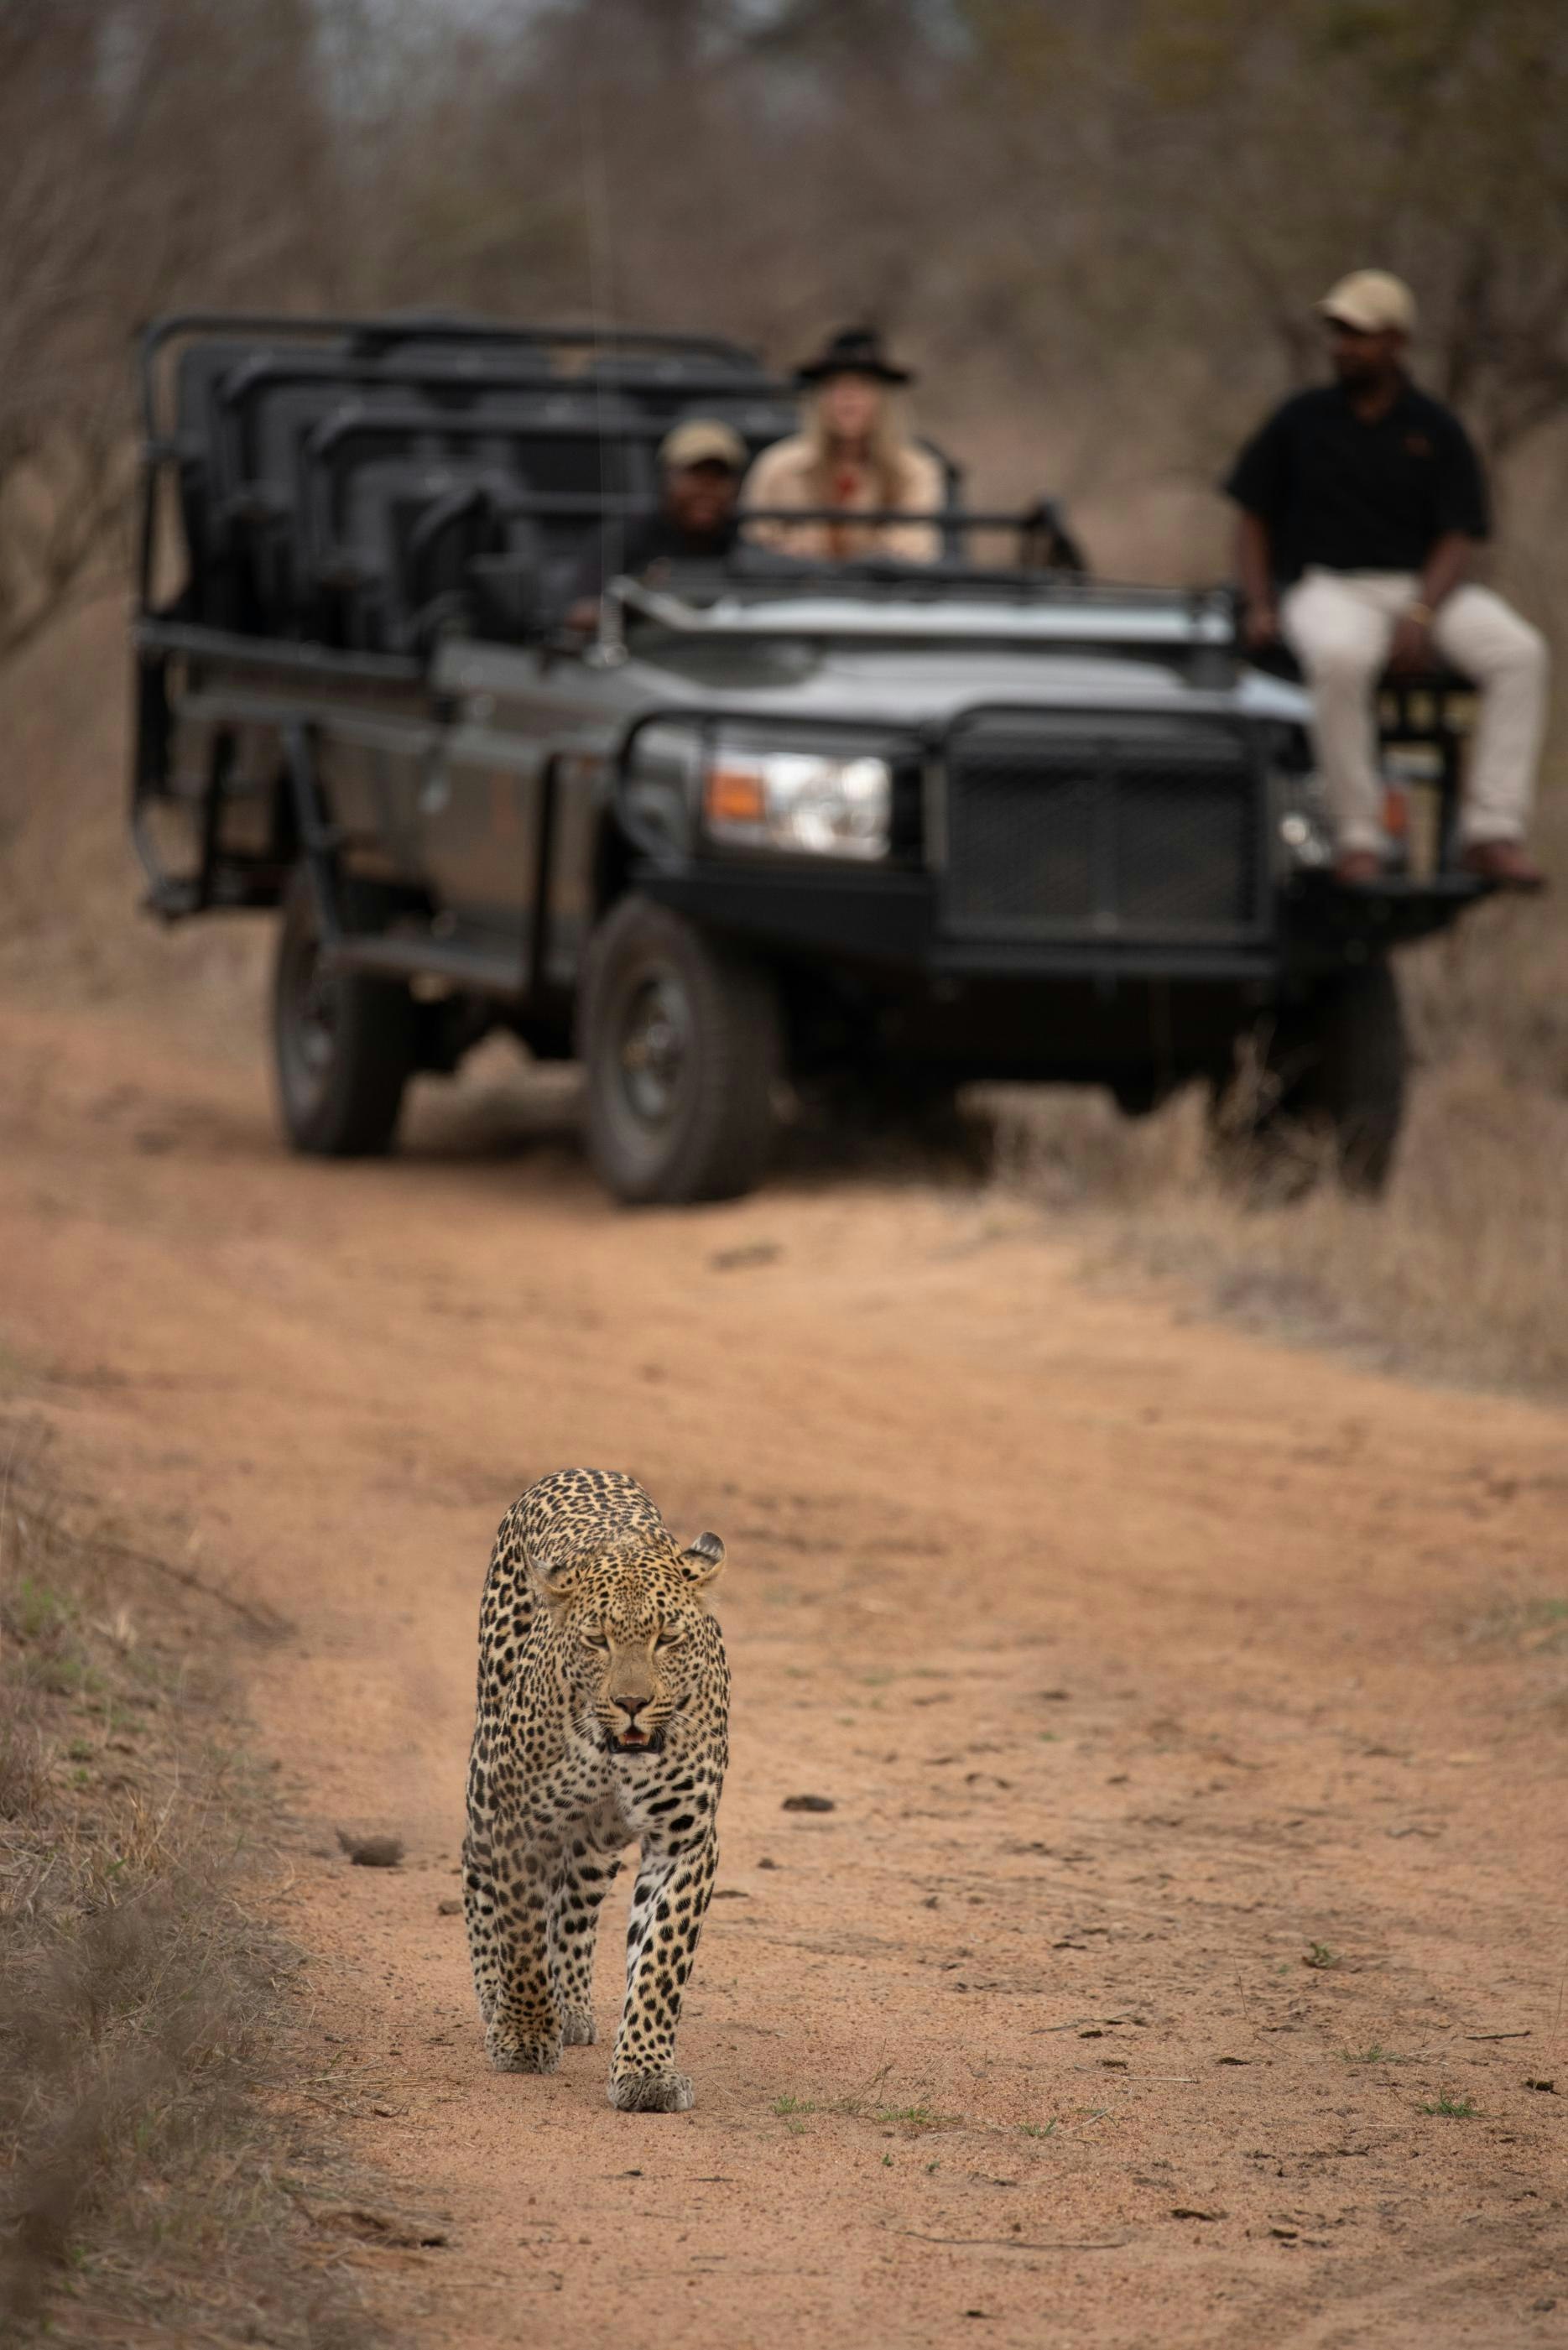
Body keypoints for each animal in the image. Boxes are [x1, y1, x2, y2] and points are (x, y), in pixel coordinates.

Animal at [463, 1467, 729, 2113]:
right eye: (596, 1640)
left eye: (667, 1638)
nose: (631, 1702)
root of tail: (581, 1469)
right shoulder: (520, 1821)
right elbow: (521, 1933)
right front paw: (523, 2033)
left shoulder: (684, 1840)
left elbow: (660, 1959)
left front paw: (646, 2071)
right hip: (486, 1771)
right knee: (479, 1877)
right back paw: (495, 1996)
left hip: (597, 1840)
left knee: (576, 1907)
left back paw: (575, 2006)